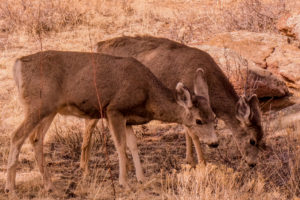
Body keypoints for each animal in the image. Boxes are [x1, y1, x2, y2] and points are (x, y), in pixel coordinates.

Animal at [5, 50, 217, 197]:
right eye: (198, 120)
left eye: (214, 117)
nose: (215, 143)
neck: (147, 96)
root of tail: (17, 65)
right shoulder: (113, 110)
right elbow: (120, 145)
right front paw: (124, 182)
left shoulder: (129, 118)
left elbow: (133, 146)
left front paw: (141, 178)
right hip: (38, 105)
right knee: (16, 136)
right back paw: (11, 188)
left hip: (49, 109)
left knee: (36, 138)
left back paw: (49, 186)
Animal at [91, 35, 262, 167]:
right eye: (252, 141)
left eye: (263, 138)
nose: (253, 163)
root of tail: (98, 46)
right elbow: (193, 133)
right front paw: (202, 162)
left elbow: (187, 131)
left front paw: (189, 160)